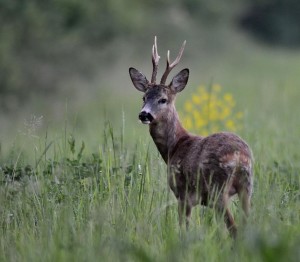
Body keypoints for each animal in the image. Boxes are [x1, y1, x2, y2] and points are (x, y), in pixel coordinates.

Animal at [129, 36, 253, 239]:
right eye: (144, 97)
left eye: (163, 99)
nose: (144, 115)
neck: (174, 147)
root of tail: (240, 157)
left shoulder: (182, 193)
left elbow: (184, 228)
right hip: (247, 187)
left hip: (218, 189)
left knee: (234, 228)